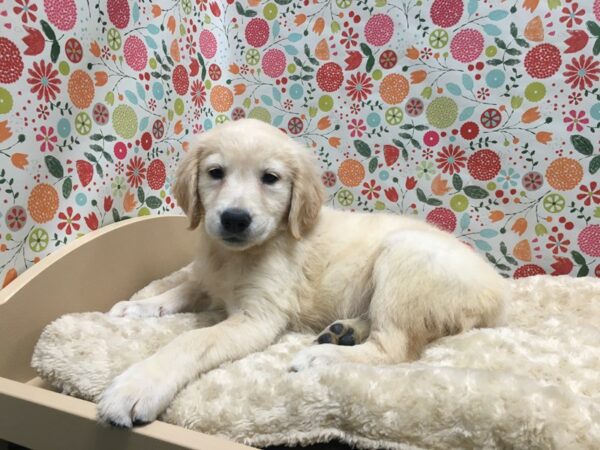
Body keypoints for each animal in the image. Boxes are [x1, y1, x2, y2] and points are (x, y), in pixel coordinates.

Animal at [99, 118, 506, 428]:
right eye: (215, 173)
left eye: (270, 178)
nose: (234, 218)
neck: (238, 255)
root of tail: (499, 293)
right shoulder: (209, 278)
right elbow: (182, 288)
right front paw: (138, 307)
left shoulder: (258, 318)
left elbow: (192, 340)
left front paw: (139, 385)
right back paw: (343, 332)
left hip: (404, 254)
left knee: (395, 348)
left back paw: (322, 358)